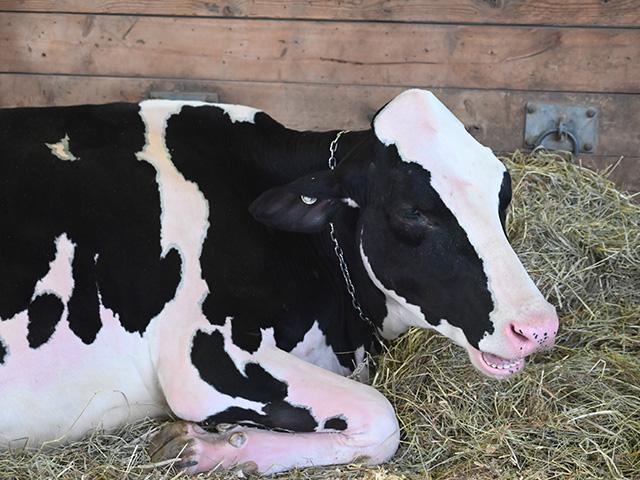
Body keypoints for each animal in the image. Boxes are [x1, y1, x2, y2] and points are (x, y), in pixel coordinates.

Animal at [0, 89, 558, 475]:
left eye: (503, 193)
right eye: (412, 212)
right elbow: (381, 419)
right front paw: (206, 446)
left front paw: (213, 449)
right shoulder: (203, 355)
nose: (537, 327)